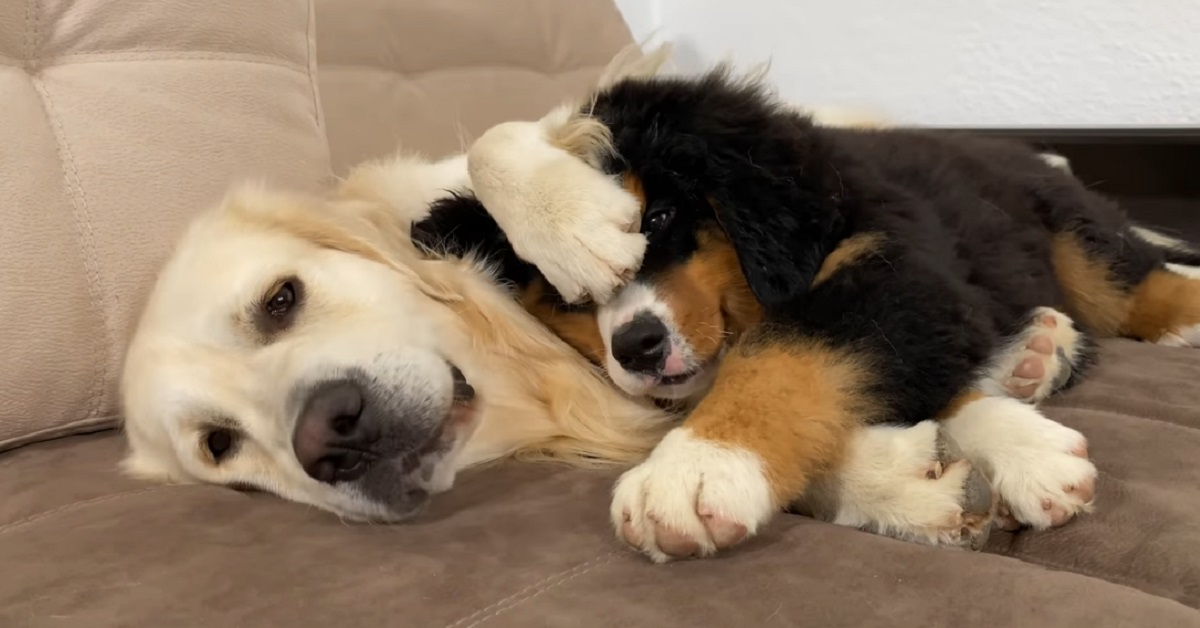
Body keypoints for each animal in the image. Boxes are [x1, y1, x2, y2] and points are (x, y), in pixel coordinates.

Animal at [417, 68, 1200, 564]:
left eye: (661, 217)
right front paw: (1010, 450)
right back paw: (1036, 354)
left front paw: (697, 465)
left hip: (1071, 231)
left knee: (1131, 279)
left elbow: (793, 349)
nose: (636, 348)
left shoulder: (887, 257)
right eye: (559, 296)